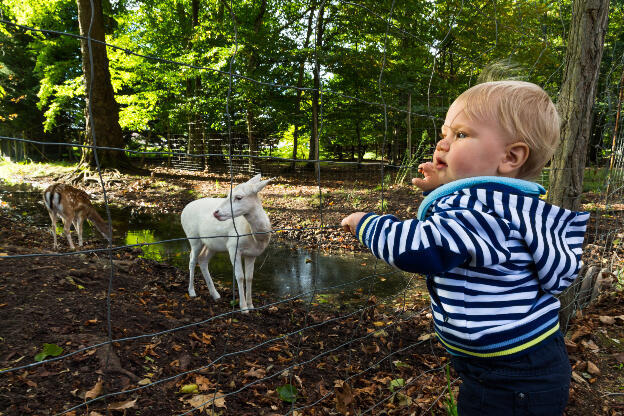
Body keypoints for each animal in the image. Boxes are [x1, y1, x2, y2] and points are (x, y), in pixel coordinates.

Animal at [178, 174, 270, 314]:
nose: (216, 212)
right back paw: (192, 292)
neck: (255, 238)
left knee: (202, 259)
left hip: (211, 244)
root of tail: (184, 210)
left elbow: (249, 277)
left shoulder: (252, 254)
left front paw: (251, 305)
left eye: (239, 197)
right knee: (192, 260)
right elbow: (240, 276)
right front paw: (243, 308)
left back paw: (215, 294)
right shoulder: (233, 247)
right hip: (193, 237)